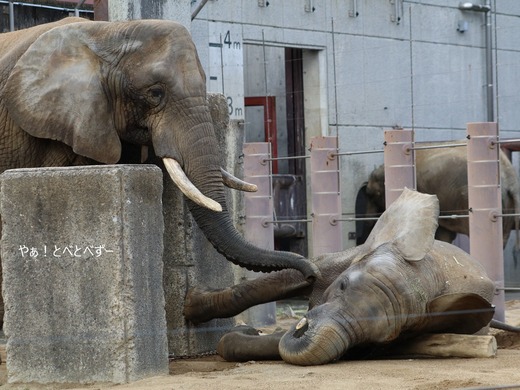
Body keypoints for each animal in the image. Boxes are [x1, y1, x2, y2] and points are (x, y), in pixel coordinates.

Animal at [185, 189, 516, 366]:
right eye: (343, 286)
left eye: (383, 336)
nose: (301, 326)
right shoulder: (341, 261)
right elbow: (287, 279)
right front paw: (192, 306)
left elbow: (277, 344)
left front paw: (246, 334)